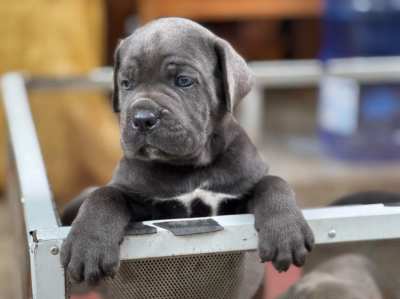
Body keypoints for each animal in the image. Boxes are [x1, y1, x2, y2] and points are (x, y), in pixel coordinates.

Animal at [61, 17, 314, 288]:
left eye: (183, 81)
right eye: (126, 83)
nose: (142, 118)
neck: (191, 167)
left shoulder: (239, 197)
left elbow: (273, 182)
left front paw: (286, 232)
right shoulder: (140, 203)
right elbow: (104, 194)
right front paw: (88, 245)